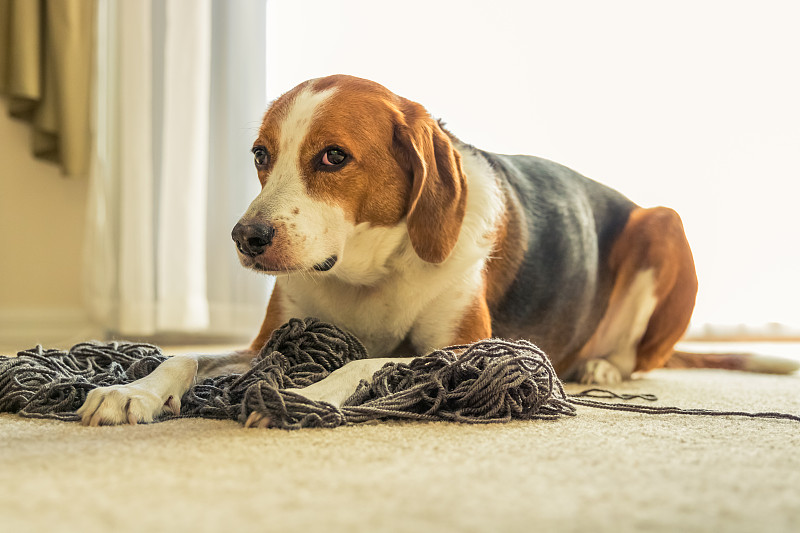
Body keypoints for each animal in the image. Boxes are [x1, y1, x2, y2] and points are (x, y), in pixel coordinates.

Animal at [76, 74, 700, 424]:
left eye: (333, 156)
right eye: (260, 154)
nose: (245, 238)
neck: (366, 272)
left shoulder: (472, 348)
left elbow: (371, 361)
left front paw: (308, 394)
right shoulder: (266, 341)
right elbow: (183, 356)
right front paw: (132, 391)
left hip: (663, 225)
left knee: (638, 356)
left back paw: (603, 365)